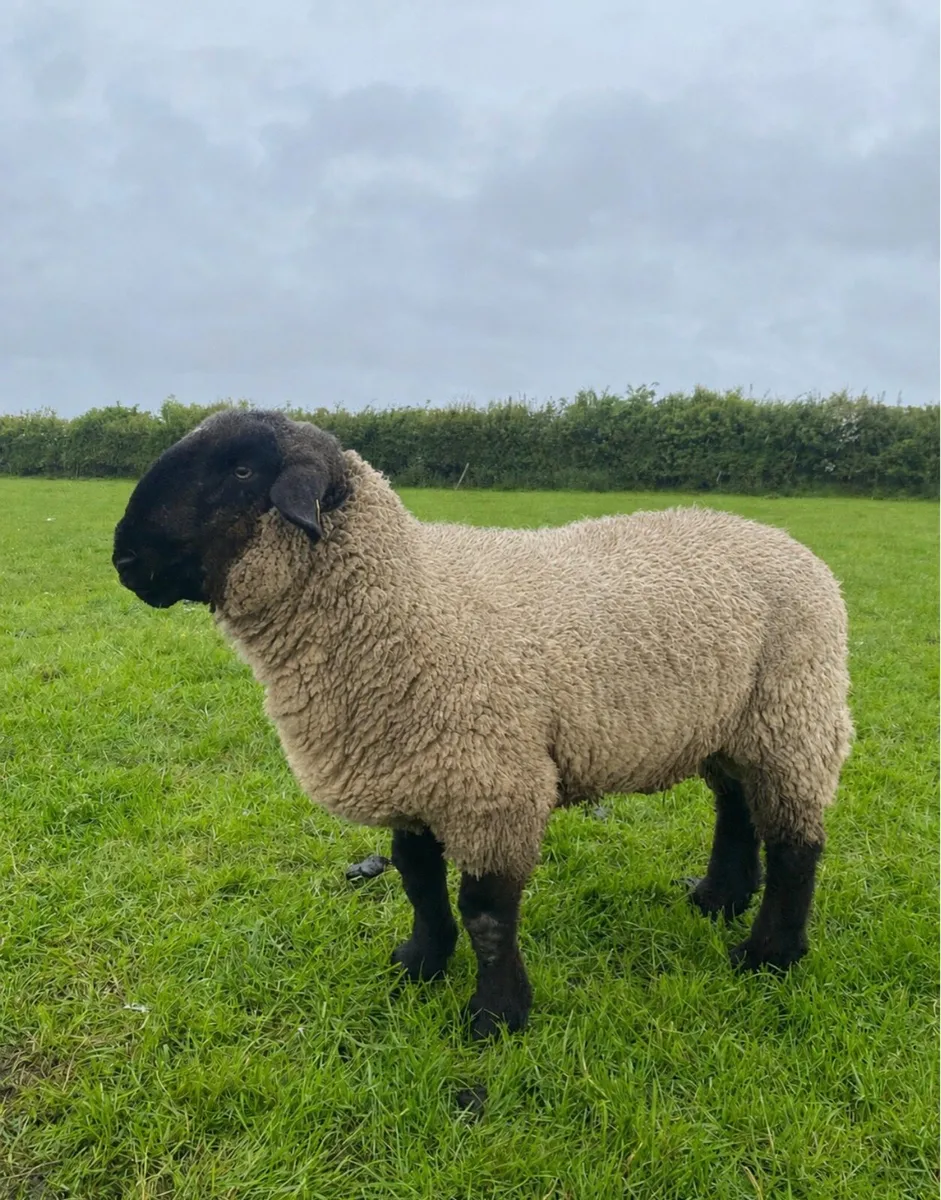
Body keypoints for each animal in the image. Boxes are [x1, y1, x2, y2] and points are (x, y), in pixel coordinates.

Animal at [113, 409, 853, 1039]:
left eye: (241, 471)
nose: (124, 560)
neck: (407, 598)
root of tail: (788, 543)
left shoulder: (493, 785)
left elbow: (487, 912)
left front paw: (496, 1015)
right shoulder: (414, 775)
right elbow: (417, 880)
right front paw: (418, 963)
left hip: (794, 709)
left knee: (795, 842)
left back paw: (769, 953)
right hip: (733, 722)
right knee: (735, 805)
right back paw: (718, 897)